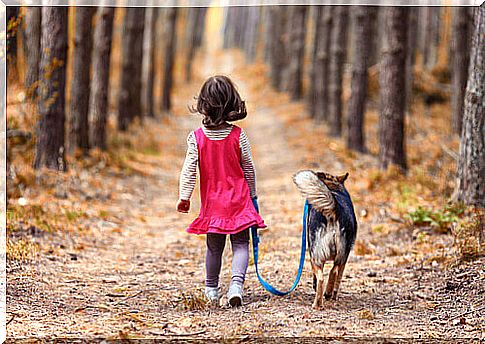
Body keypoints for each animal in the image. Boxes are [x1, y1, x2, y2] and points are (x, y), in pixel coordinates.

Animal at [292, 169, 356, 310]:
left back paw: (318, 303)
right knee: (334, 271)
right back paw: (327, 294)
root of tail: (334, 210)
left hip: (317, 256)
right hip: (339, 255)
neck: (333, 188)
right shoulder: (345, 257)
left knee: (323, 276)